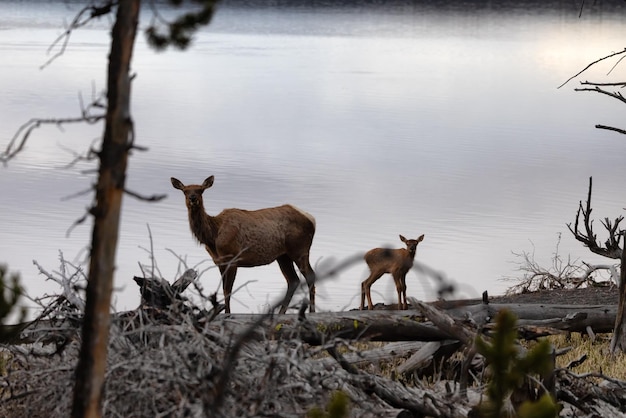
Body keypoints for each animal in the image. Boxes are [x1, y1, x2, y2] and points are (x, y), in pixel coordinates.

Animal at [169, 175, 314, 316]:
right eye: (185, 191)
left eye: (200, 190)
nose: (193, 198)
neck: (213, 237)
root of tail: (312, 219)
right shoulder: (219, 262)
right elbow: (223, 289)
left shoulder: (233, 259)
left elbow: (227, 290)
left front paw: (227, 314)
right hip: (283, 256)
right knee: (293, 280)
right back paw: (282, 312)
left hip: (300, 250)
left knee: (309, 276)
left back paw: (312, 311)